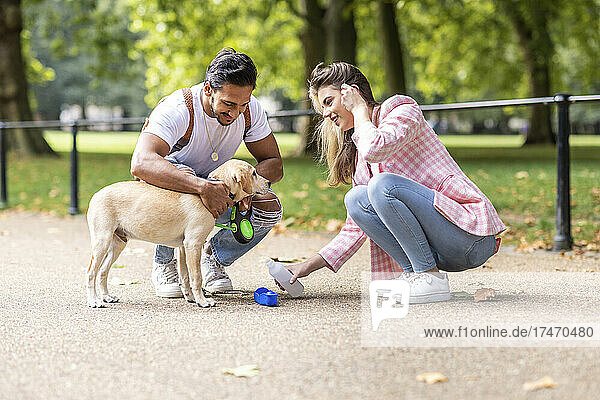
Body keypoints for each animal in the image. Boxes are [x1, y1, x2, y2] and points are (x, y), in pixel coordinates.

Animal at [85, 159, 270, 310]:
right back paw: (94, 301)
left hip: (118, 244)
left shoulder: (182, 247)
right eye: (254, 173)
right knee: (91, 273)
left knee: (102, 272)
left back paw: (107, 297)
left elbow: (185, 276)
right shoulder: (193, 244)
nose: (269, 182)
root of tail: (95, 195)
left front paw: (190, 298)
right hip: (102, 242)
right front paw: (202, 301)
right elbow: (196, 277)